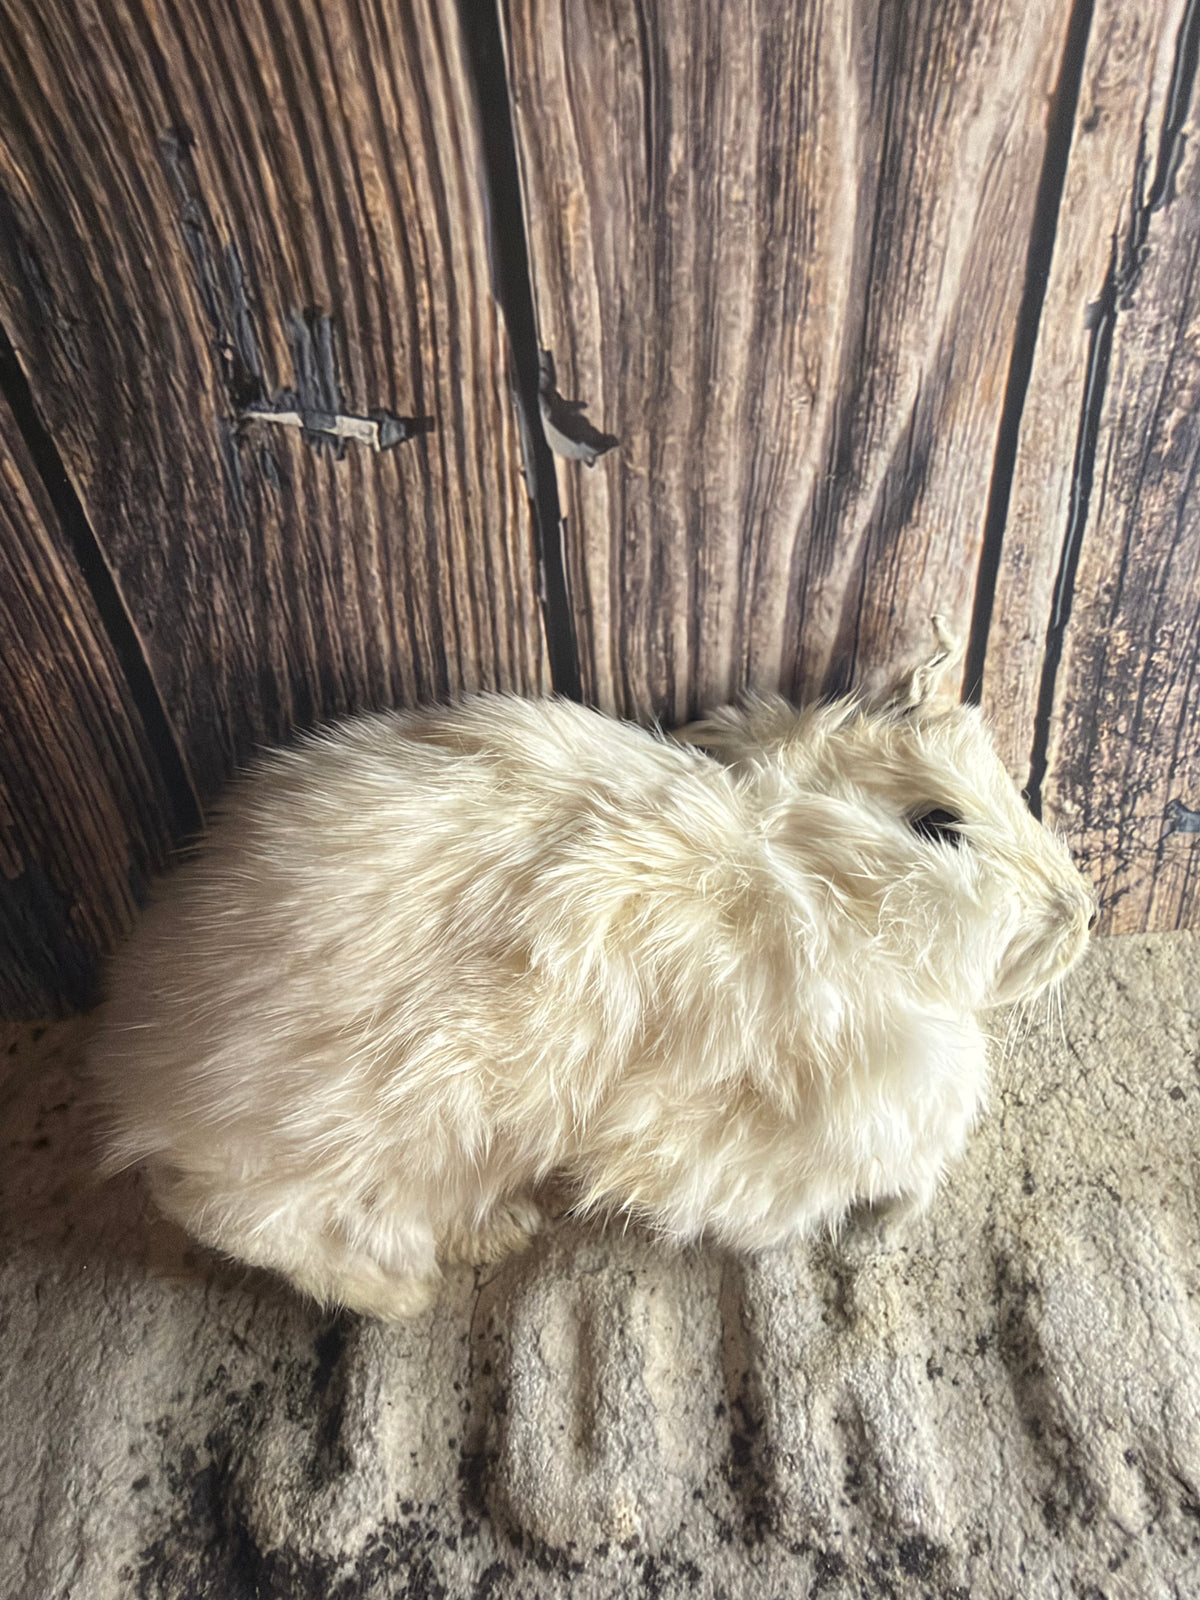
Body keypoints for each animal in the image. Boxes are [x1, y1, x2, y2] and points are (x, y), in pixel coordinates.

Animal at [90, 621, 1096, 1320]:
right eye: (937, 824)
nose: (1084, 916)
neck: (805, 883)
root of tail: (145, 1068)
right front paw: (892, 1218)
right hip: (357, 1139)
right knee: (227, 1212)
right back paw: (401, 1297)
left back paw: (496, 1233)